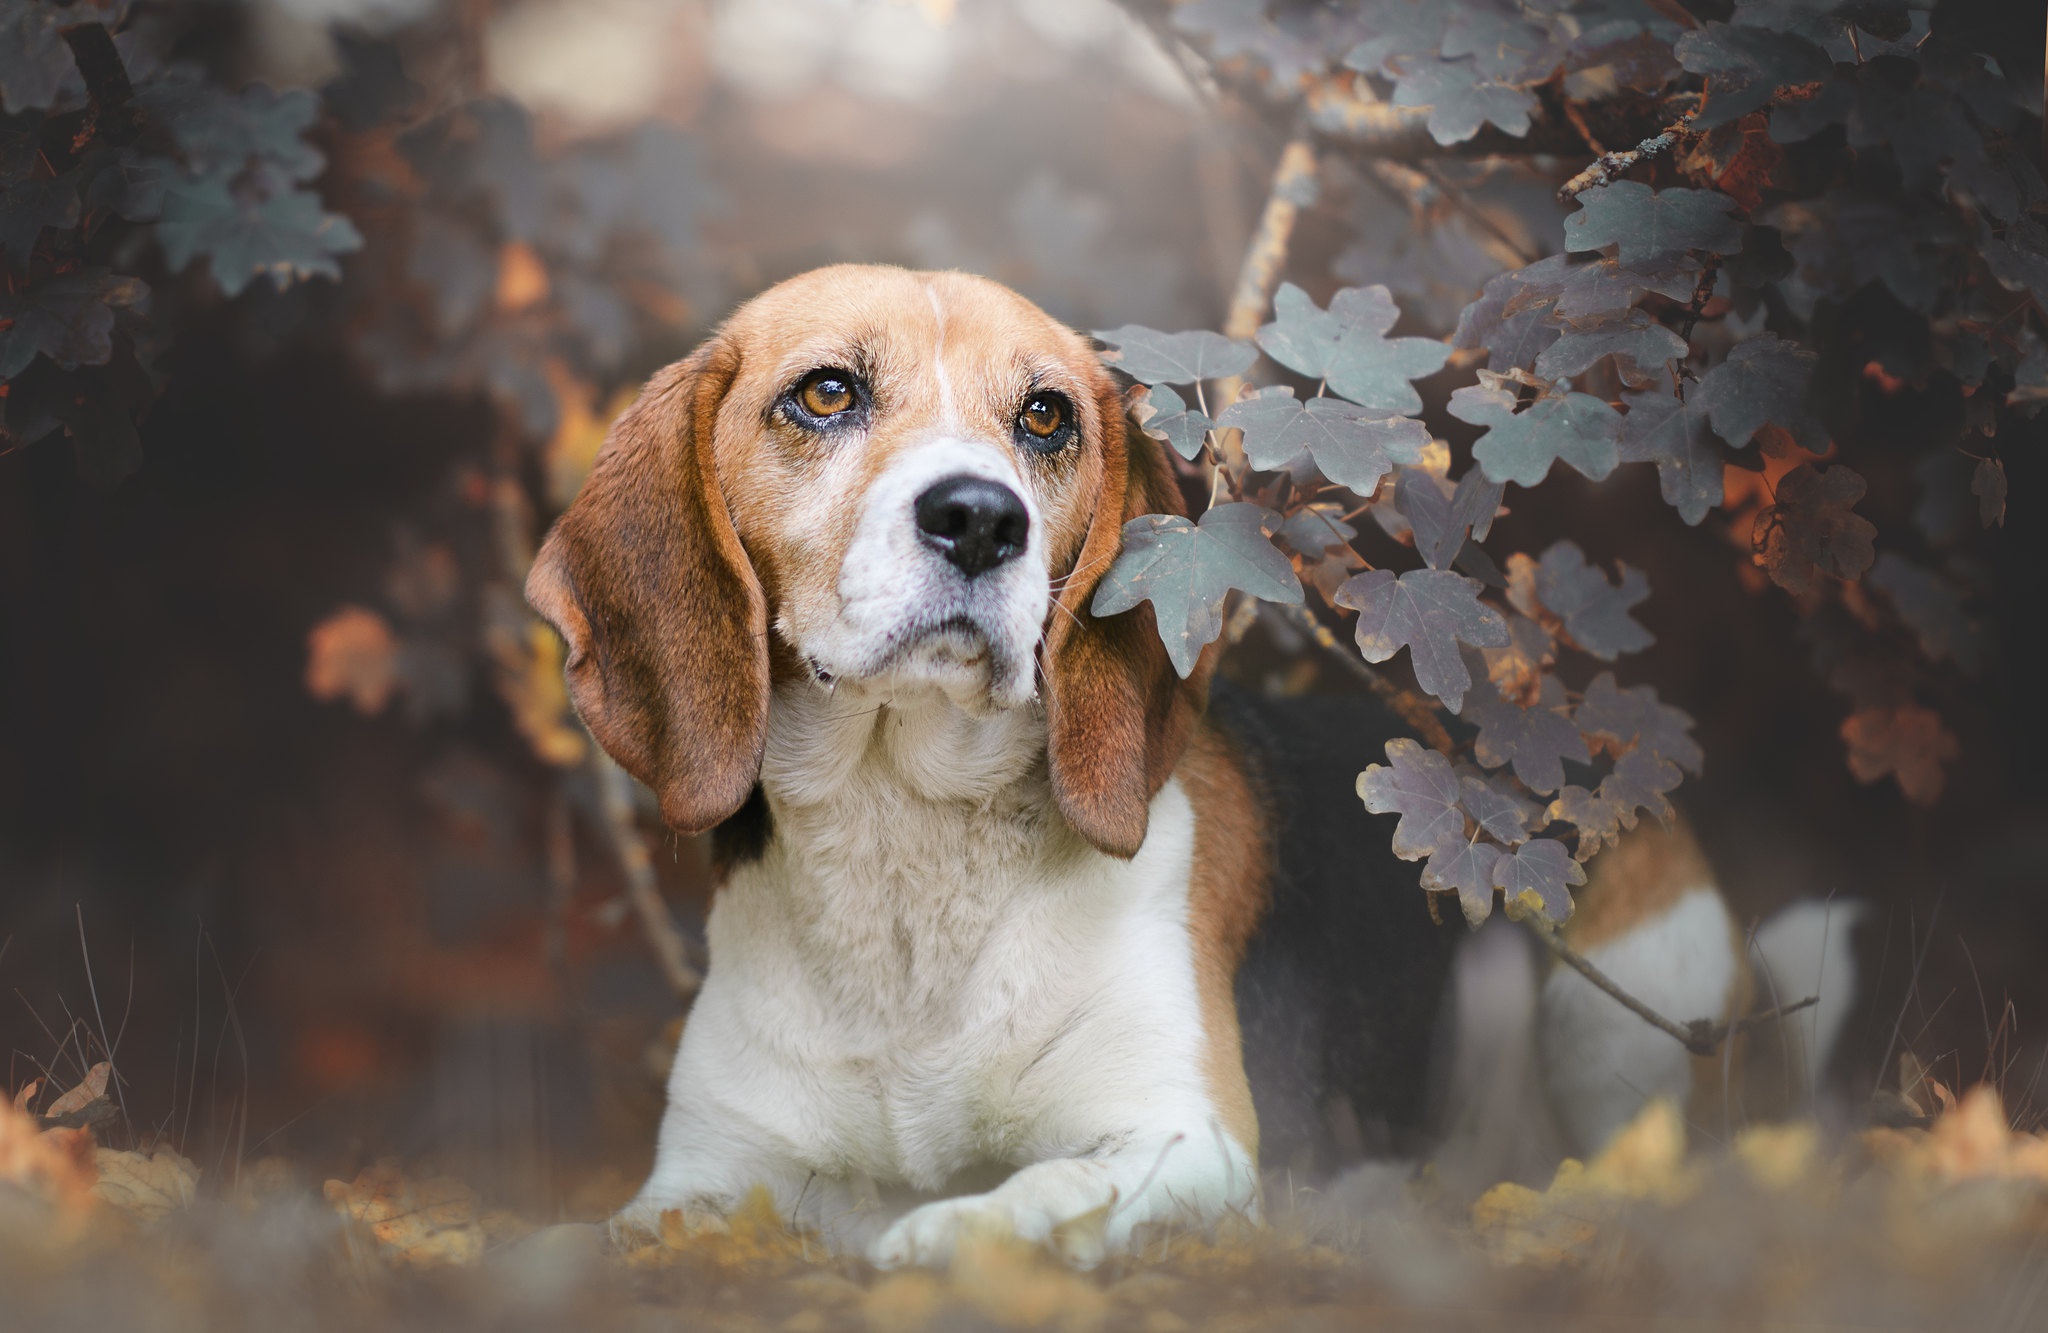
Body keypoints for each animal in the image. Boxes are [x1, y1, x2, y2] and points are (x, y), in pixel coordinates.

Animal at [532, 266, 1859, 1269]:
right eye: (824, 392)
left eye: (1046, 417)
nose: (981, 519)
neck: (904, 841)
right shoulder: (707, 1173)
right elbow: (611, 1235)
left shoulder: (1180, 1136)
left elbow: (1029, 1193)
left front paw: (937, 1234)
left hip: (1613, 1002)